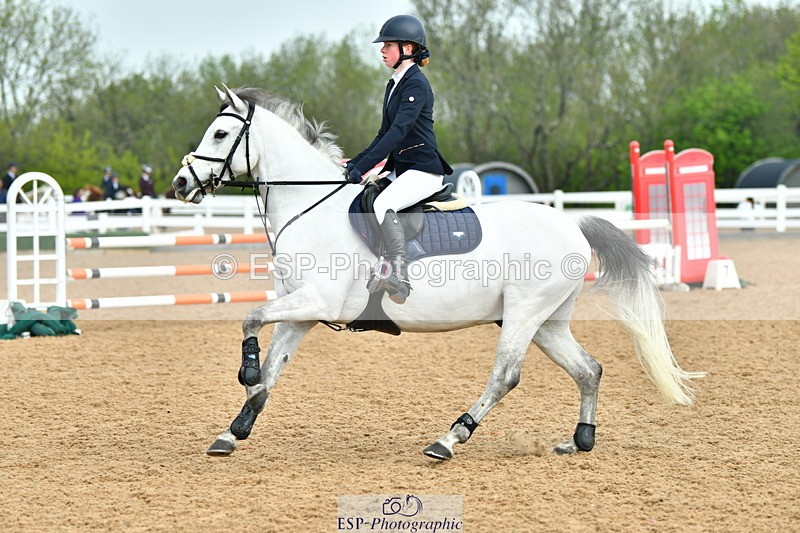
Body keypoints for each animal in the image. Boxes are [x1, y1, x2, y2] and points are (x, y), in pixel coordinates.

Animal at [172, 85, 704, 459]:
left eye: (220, 134)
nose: (180, 183)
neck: (312, 207)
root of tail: (571, 222)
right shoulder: (303, 312)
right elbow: (271, 369)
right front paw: (234, 429)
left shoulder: (316, 300)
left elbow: (251, 320)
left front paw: (244, 374)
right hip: (545, 321)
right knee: (588, 369)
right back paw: (579, 439)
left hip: (524, 314)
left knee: (505, 376)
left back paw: (449, 440)